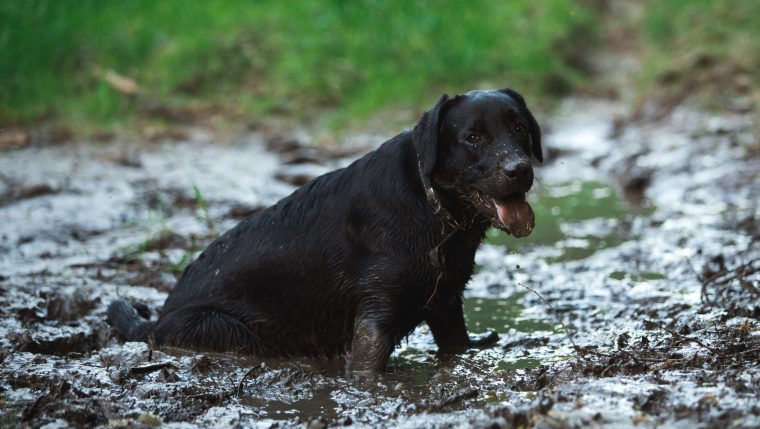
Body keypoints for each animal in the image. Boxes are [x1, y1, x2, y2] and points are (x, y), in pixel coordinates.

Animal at [110, 88, 544, 372]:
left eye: (520, 128)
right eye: (473, 137)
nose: (519, 169)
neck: (431, 205)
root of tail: (155, 322)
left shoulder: (446, 303)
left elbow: (457, 345)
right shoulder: (374, 319)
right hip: (224, 328)